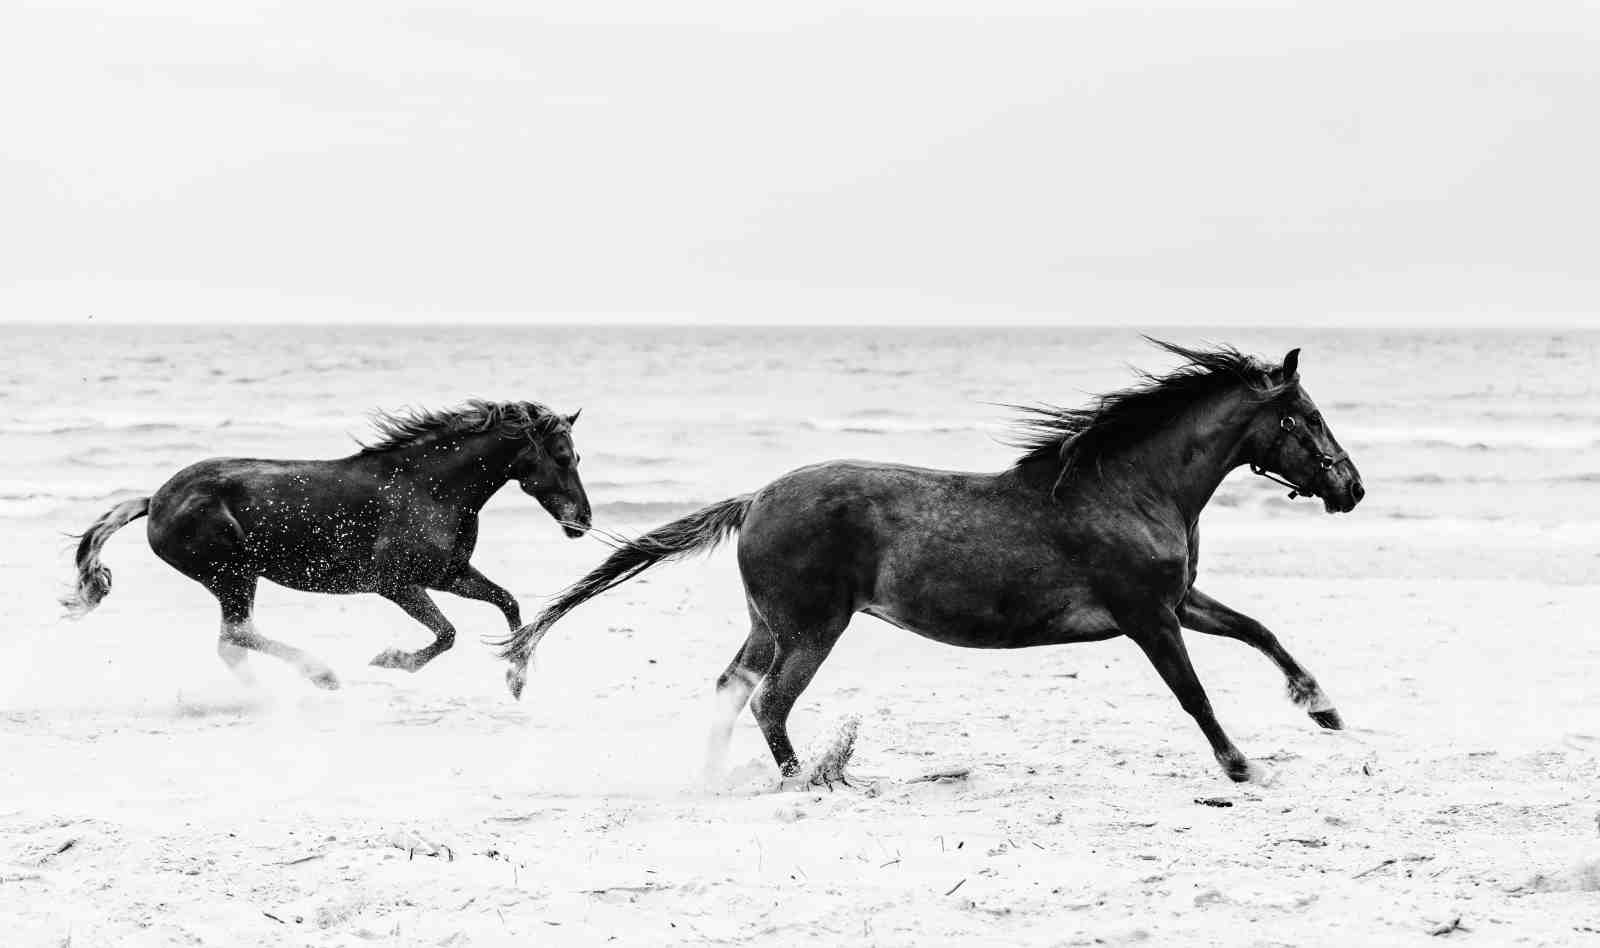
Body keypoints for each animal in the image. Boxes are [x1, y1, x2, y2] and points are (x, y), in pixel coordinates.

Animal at [62, 399, 590, 690]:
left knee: (233, 644)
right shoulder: (396, 584)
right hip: (233, 575)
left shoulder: (448, 575)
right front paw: (391, 660)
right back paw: (319, 677)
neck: (428, 487)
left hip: (234, 579)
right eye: (564, 456)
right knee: (236, 637)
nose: (583, 522)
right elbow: (447, 634)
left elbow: (509, 604)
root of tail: (155, 500)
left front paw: (516, 677)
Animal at [495, 341, 1365, 783]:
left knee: (730, 690)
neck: (1127, 488)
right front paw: (1241, 765)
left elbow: (1261, 631)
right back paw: (804, 781)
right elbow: (1194, 694)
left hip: (768, 626)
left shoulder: (1178, 601)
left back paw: (713, 778)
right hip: (813, 629)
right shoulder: (1147, 616)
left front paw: (1323, 708)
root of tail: (756, 498)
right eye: (1309, 415)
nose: (1352, 487)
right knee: (770, 703)